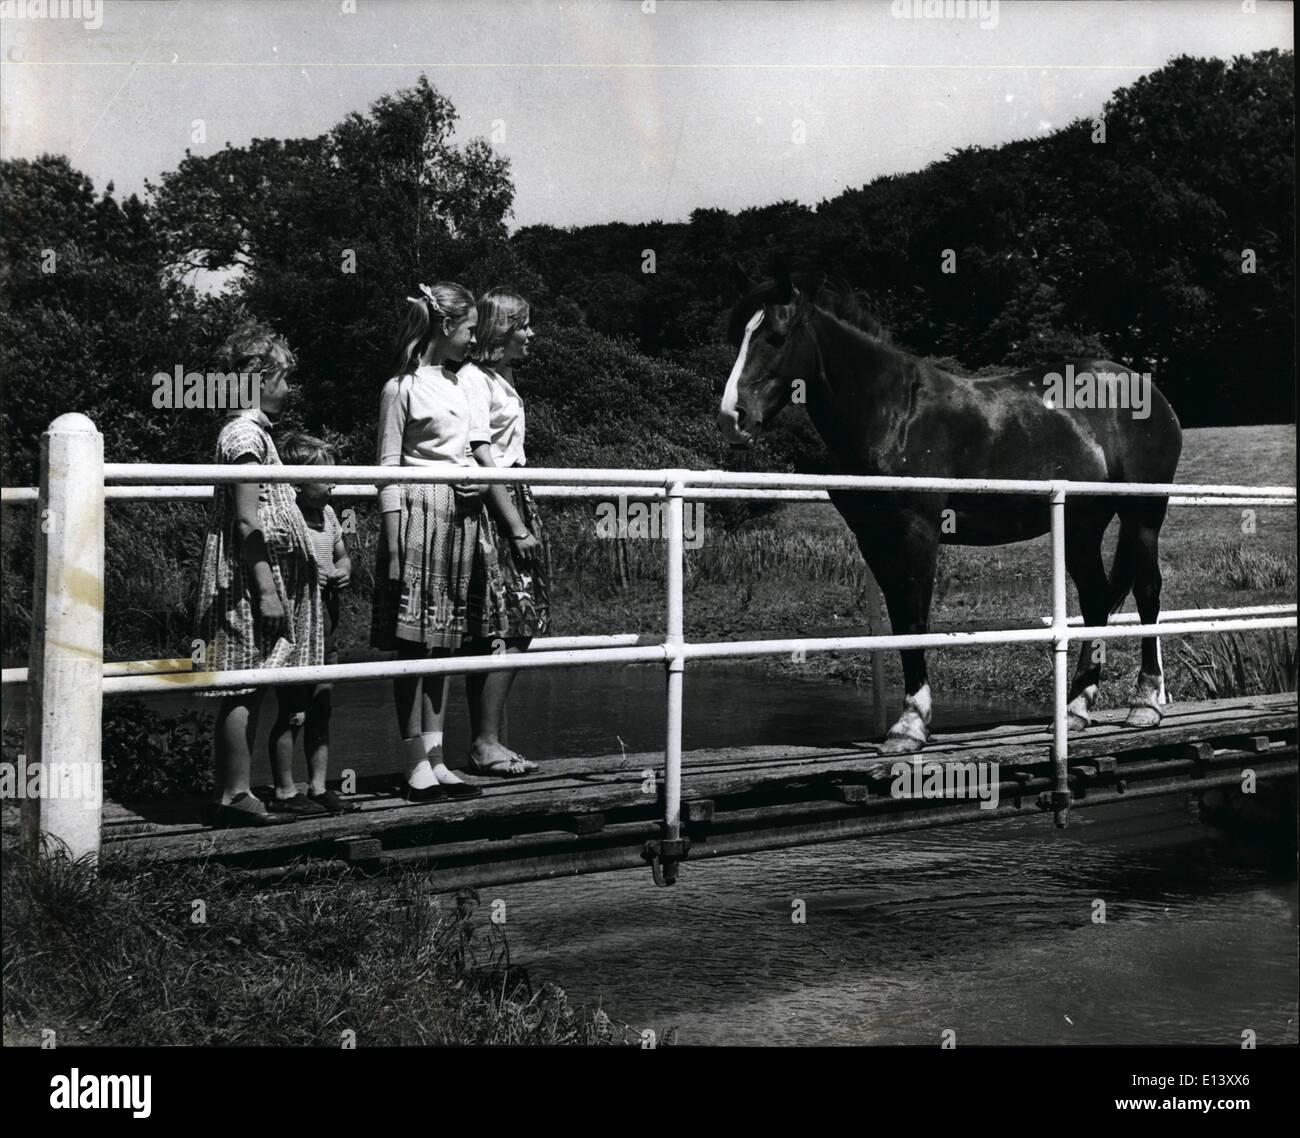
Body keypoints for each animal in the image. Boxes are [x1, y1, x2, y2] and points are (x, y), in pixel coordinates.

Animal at [717, 261, 1185, 754]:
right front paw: (910, 722)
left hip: (1143, 514)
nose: (733, 418)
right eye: (740, 336)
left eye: (776, 336)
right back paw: (1076, 710)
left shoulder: (916, 531)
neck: (893, 411)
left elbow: (914, 618)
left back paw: (1145, 704)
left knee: (1148, 592)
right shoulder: (873, 537)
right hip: (1081, 524)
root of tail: (1148, 391)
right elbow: (901, 621)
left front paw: (910, 724)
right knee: (1095, 600)